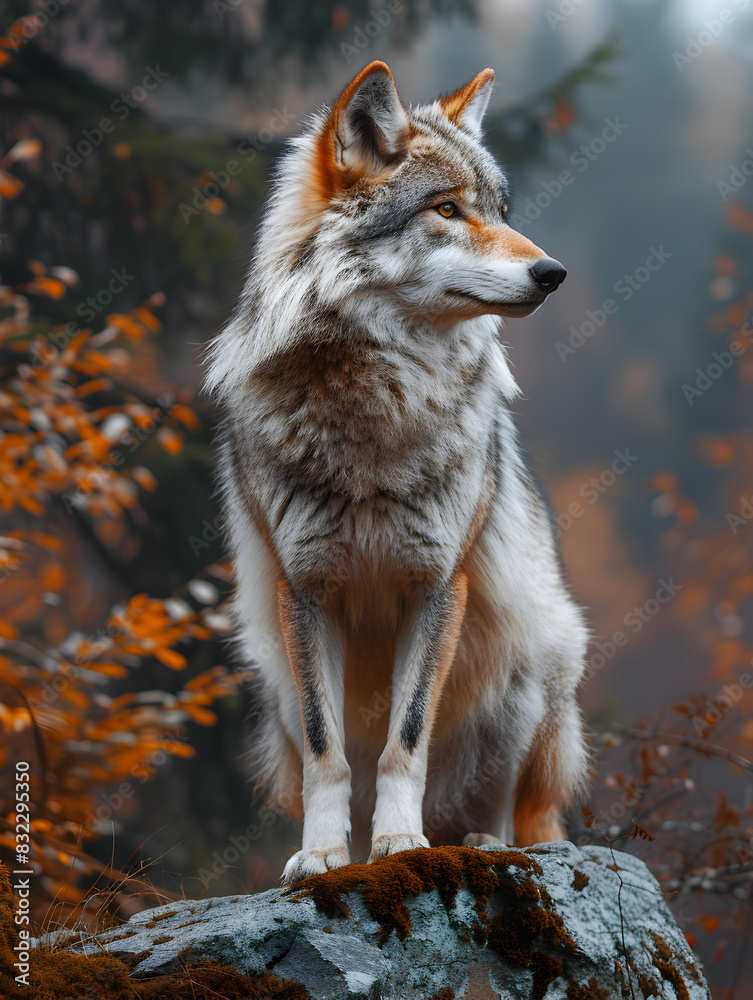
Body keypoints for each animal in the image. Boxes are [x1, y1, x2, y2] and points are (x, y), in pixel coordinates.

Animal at [205, 61, 590, 884]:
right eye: (447, 209)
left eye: (500, 210)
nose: (554, 272)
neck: (374, 406)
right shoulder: (304, 593)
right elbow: (331, 757)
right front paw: (325, 855)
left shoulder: (438, 585)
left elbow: (402, 743)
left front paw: (401, 844)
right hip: (276, 685)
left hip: (528, 669)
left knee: (515, 817)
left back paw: (479, 844)